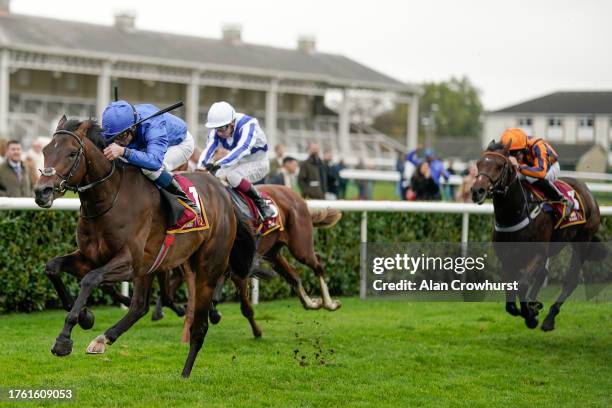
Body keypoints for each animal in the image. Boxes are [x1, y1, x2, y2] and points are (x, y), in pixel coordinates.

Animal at [33, 116, 255, 378]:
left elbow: (90, 279)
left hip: (207, 270)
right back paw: (103, 339)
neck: (109, 200)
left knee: (199, 326)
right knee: (139, 306)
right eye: (46, 150)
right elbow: (52, 267)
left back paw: (185, 374)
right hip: (153, 266)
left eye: (71, 153)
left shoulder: (129, 262)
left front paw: (64, 339)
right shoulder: (90, 257)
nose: (42, 192)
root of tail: (225, 195)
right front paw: (86, 316)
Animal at [470, 141, 604, 332]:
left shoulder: (538, 253)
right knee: (543, 273)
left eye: (499, 166)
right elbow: (511, 299)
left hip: (582, 241)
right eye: (479, 163)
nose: (477, 191)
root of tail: (587, 190)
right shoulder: (507, 259)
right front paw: (529, 310)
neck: (516, 213)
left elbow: (523, 284)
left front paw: (530, 315)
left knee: (571, 280)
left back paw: (549, 319)